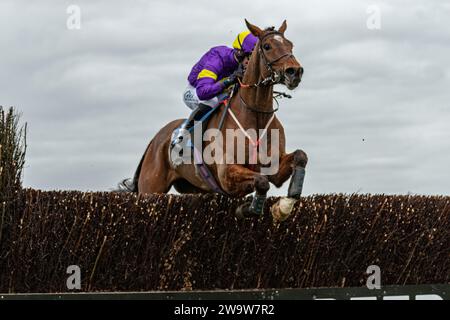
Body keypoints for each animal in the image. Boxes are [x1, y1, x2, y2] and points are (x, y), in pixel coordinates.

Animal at [120, 18, 310, 221]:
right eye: (267, 46)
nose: (294, 71)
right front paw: (247, 209)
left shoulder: (274, 168)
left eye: (290, 44)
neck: (255, 113)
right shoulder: (227, 173)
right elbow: (262, 181)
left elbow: (300, 156)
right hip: (150, 189)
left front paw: (283, 207)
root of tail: (154, 141)